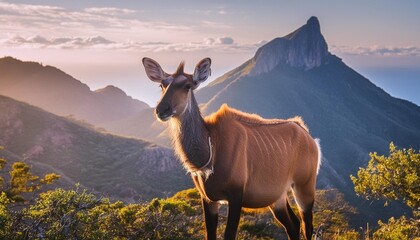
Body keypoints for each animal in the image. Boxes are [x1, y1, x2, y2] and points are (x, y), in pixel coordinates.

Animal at [142, 57, 322, 239]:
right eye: (162, 84)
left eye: (187, 85)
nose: (161, 110)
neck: (210, 151)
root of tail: (309, 137)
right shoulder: (208, 198)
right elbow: (209, 234)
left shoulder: (236, 194)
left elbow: (229, 234)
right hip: (277, 197)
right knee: (293, 224)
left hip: (304, 186)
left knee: (307, 225)